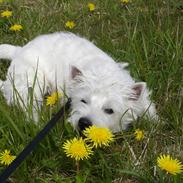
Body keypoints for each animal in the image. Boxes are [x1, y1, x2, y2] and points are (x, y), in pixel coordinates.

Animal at [0, 32, 157, 132]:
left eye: (109, 110)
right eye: (83, 101)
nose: (84, 122)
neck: (104, 76)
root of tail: (19, 50)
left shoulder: (142, 99)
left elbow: (148, 108)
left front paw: (155, 121)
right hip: (31, 80)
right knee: (27, 104)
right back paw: (37, 123)